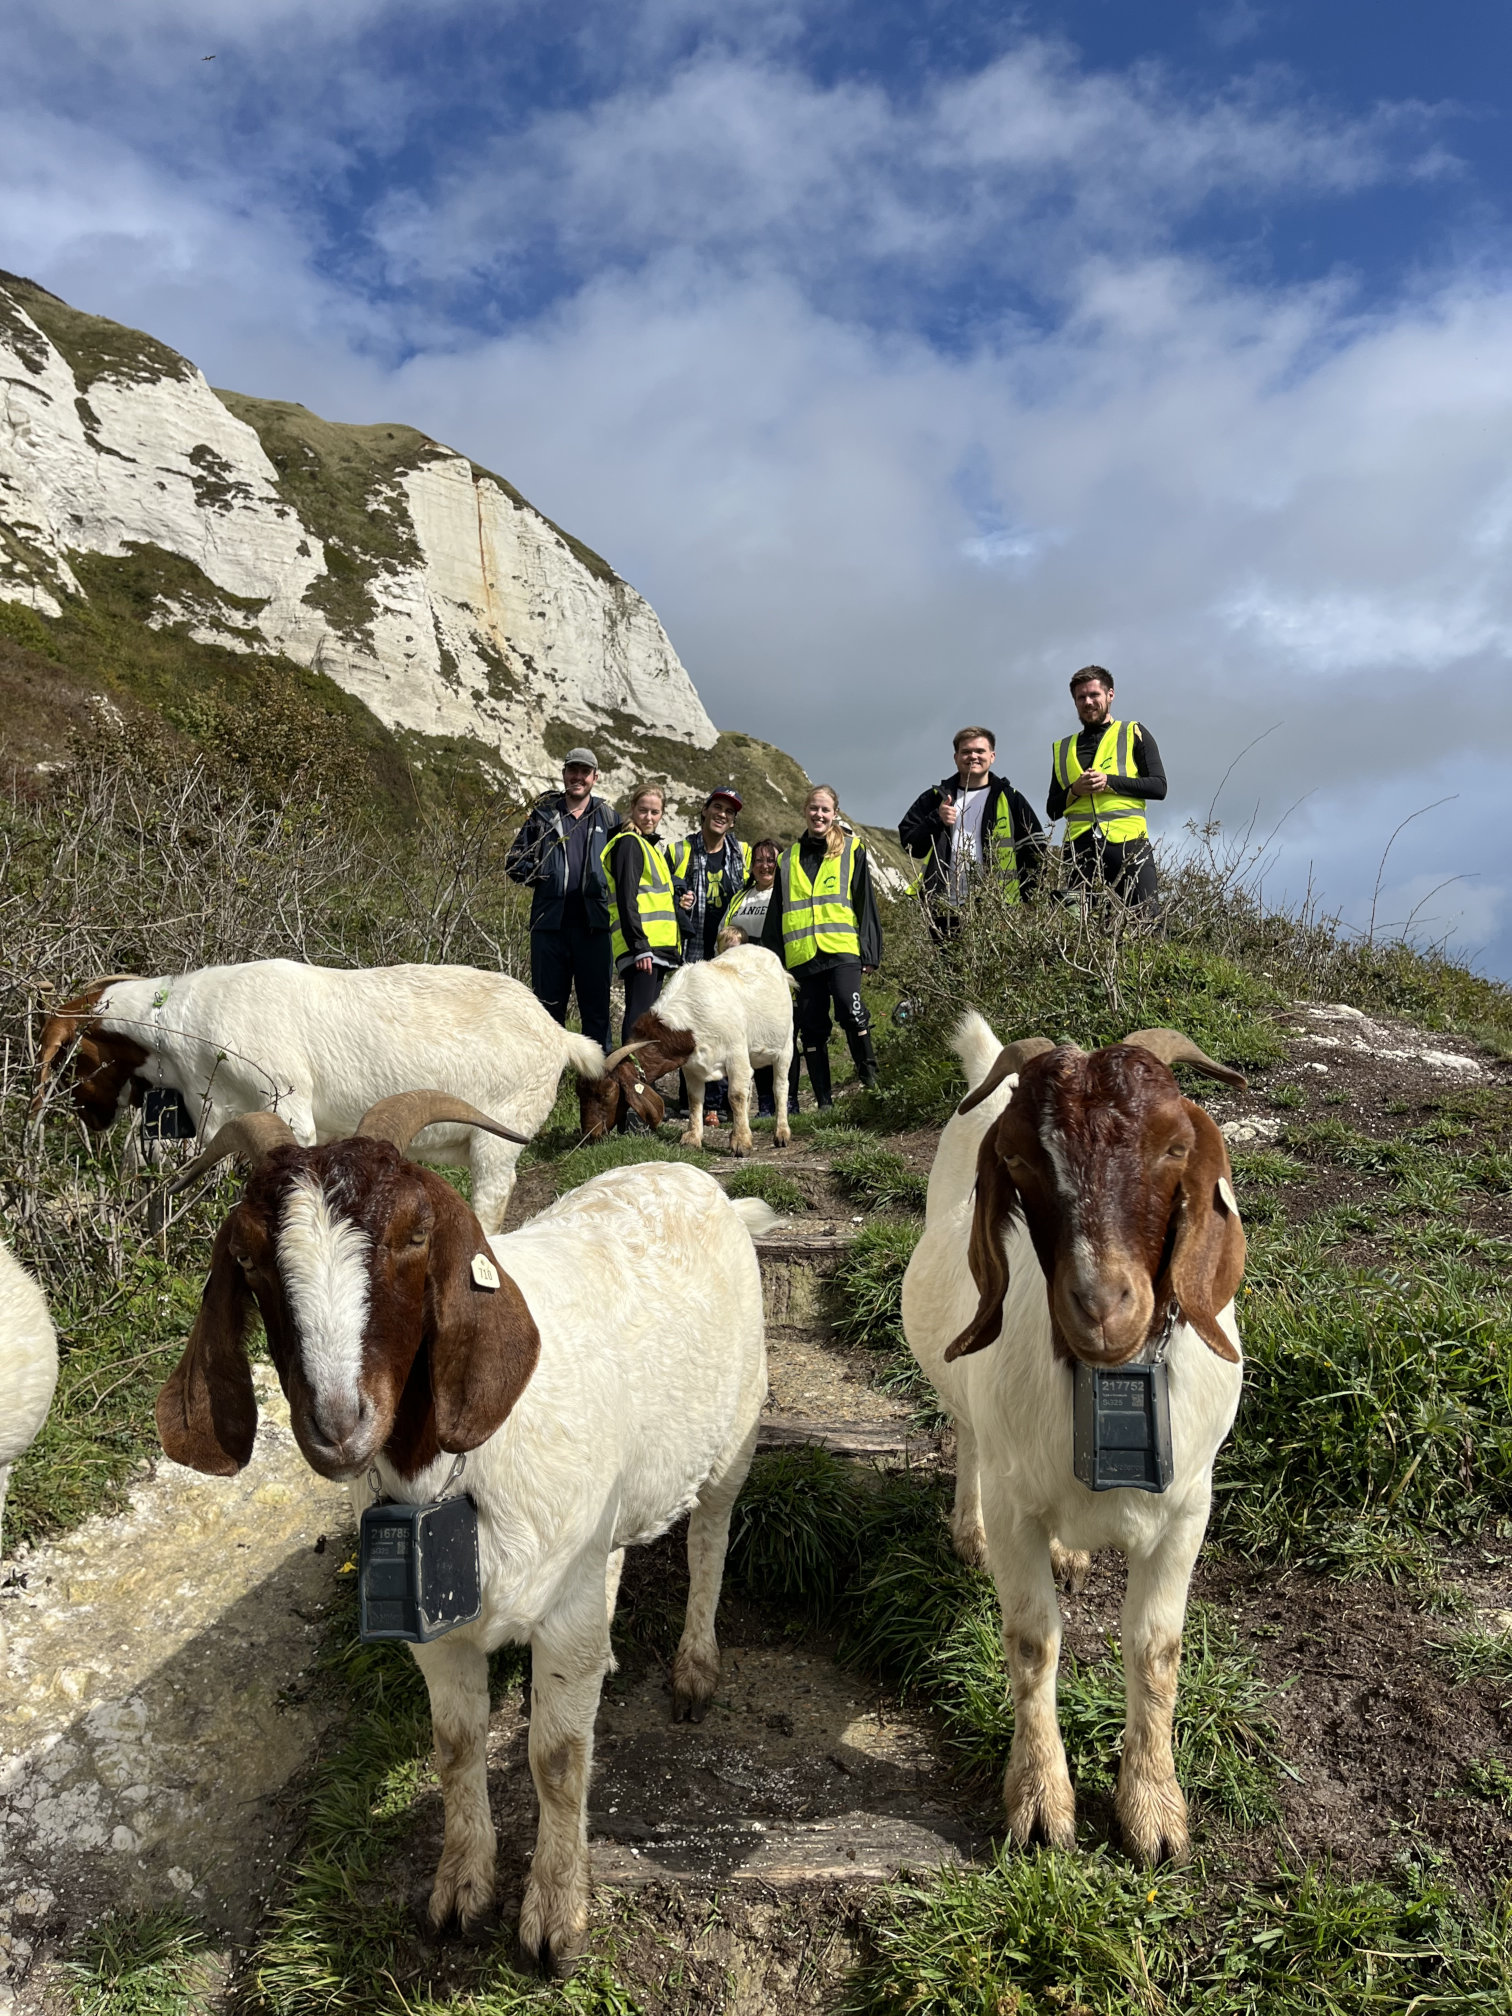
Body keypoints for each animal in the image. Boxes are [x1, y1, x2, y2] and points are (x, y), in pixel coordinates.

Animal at [33, 962, 606, 1232]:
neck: (184, 1023)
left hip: (502, 1134)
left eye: (73, 1058)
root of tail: (559, 1034)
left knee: (493, 1196)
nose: (90, 1117)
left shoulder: (287, 1106)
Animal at [154, 1093, 770, 1973]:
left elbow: (557, 1759)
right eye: (245, 1256)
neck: (453, 1476)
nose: (337, 1425)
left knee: (710, 1539)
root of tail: (698, 1180)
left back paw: (694, 1669)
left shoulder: (564, 1610)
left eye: (417, 1233)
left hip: (735, 1433)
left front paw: (555, 1913)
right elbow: (454, 1744)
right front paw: (460, 1885)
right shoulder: (439, 1635)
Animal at [579, 943, 794, 1156]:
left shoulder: (736, 1055)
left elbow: (736, 1095)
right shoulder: (692, 1065)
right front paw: (693, 1138)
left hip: (786, 1046)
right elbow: (695, 1098)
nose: (590, 1135)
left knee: (780, 1087)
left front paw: (741, 1143)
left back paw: (782, 1133)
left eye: (607, 1093)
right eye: (579, 1092)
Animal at [901, 1013, 1247, 1867]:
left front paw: (1154, 1809)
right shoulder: (1017, 1505)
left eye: (1173, 1145)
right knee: (966, 1437)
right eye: (1022, 1160)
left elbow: (1156, 1649)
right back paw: (968, 1532)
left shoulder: (1188, 1509)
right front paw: (1039, 1803)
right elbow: (1033, 1641)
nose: (1102, 1305)